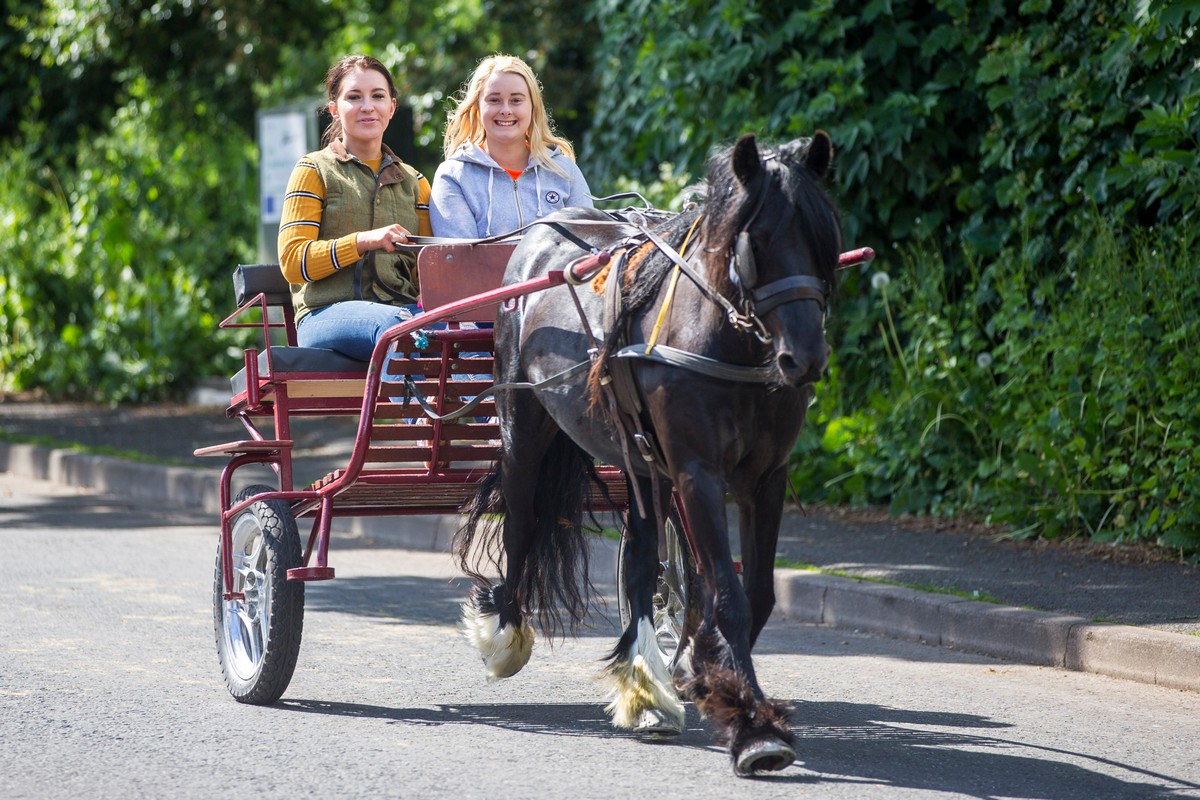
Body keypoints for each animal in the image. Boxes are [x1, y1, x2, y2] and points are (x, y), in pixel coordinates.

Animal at [453, 131, 840, 777]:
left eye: (823, 237)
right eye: (756, 240)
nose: (805, 358)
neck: (724, 339)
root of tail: (540, 232)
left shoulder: (764, 478)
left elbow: (752, 593)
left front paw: (704, 676)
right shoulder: (696, 473)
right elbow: (728, 597)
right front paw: (755, 730)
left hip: (640, 461)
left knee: (639, 562)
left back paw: (646, 687)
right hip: (524, 429)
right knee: (523, 522)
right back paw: (504, 633)